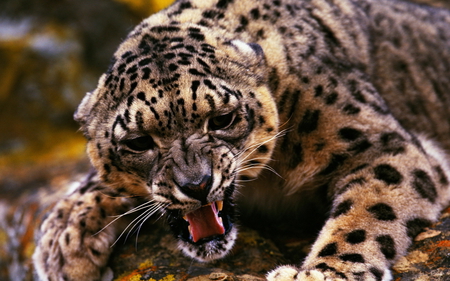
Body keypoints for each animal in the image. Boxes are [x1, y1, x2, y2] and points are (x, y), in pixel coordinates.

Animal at [32, 0, 450, 278]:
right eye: (138, 142)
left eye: (222, 119)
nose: (197, 185)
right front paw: (63, 242)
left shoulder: (379, 146)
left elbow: (364, 217)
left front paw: (319, 273)